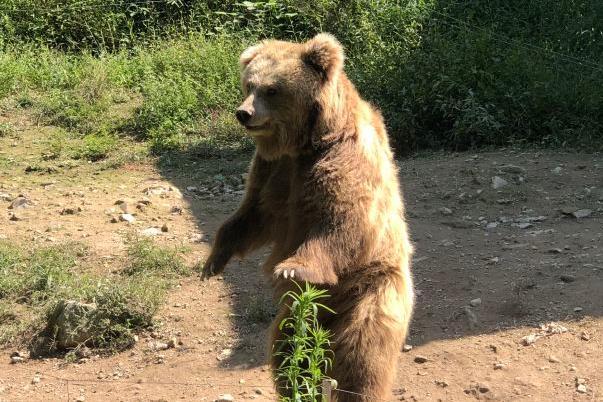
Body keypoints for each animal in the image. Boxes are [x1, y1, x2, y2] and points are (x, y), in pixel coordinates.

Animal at [203, 33, 416, 400]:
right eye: (248, 84)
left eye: (272, 89)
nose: (244, 113)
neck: (306, 142)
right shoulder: (274, 170)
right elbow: (252, 215)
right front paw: (213, 261)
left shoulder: (344, 159)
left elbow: (341, 221)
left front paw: (291, 267)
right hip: (297, 313)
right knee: (288, 349)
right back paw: (295, 384)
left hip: (373, 289)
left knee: (363, 357)